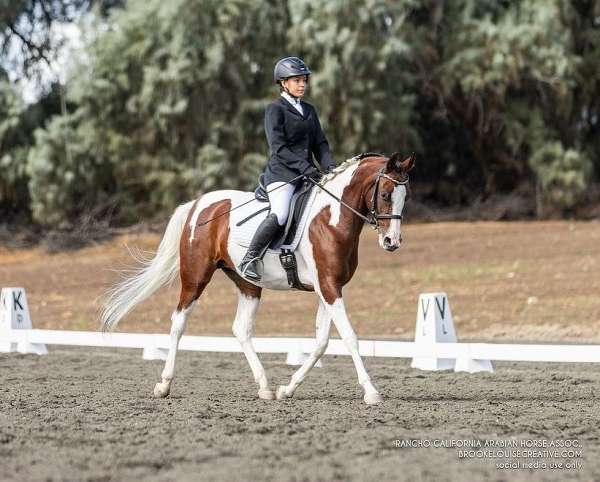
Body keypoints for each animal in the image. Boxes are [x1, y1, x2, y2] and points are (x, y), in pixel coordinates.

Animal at [101, 153, 414, 404]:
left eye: (405, 197)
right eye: (385, 194)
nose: (392, 242)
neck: (331, 218)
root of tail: (198, 203)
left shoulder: (328, 287)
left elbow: (321, 343)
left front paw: (287, 389)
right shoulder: (328, 287)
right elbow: (349, 337)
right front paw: (371, 392)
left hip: (247, 283)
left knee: (241, 328)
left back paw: (264, 387)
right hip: (195, 276)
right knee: (178, 322)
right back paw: (164, 385)